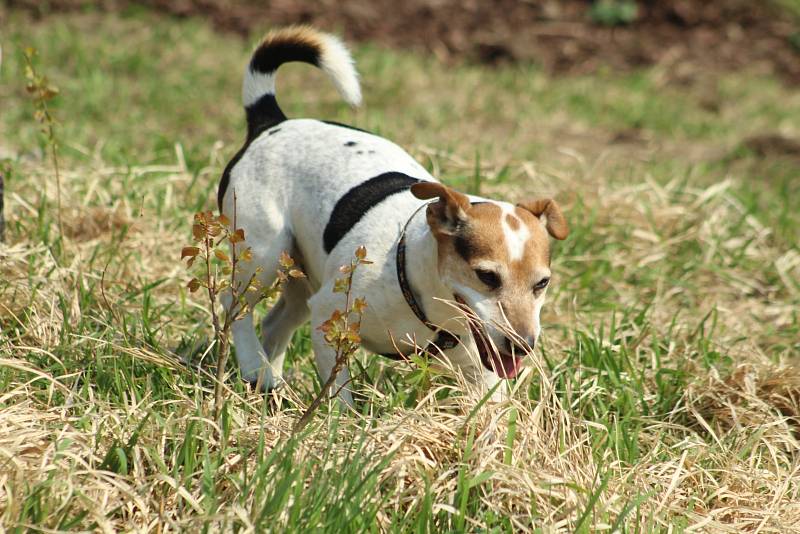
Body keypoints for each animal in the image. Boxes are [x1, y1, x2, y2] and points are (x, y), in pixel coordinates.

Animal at [219, 27, 568, 404]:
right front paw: (338, 417)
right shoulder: (329, 318)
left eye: (542, 283)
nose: (523, 346)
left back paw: (268, 378)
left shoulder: (481, 368)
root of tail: (272, 122)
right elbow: (339, 394)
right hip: (263, 255)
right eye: (487, 277)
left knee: (276, 321)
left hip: (300, 274)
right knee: (235, 305)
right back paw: (252, 362)